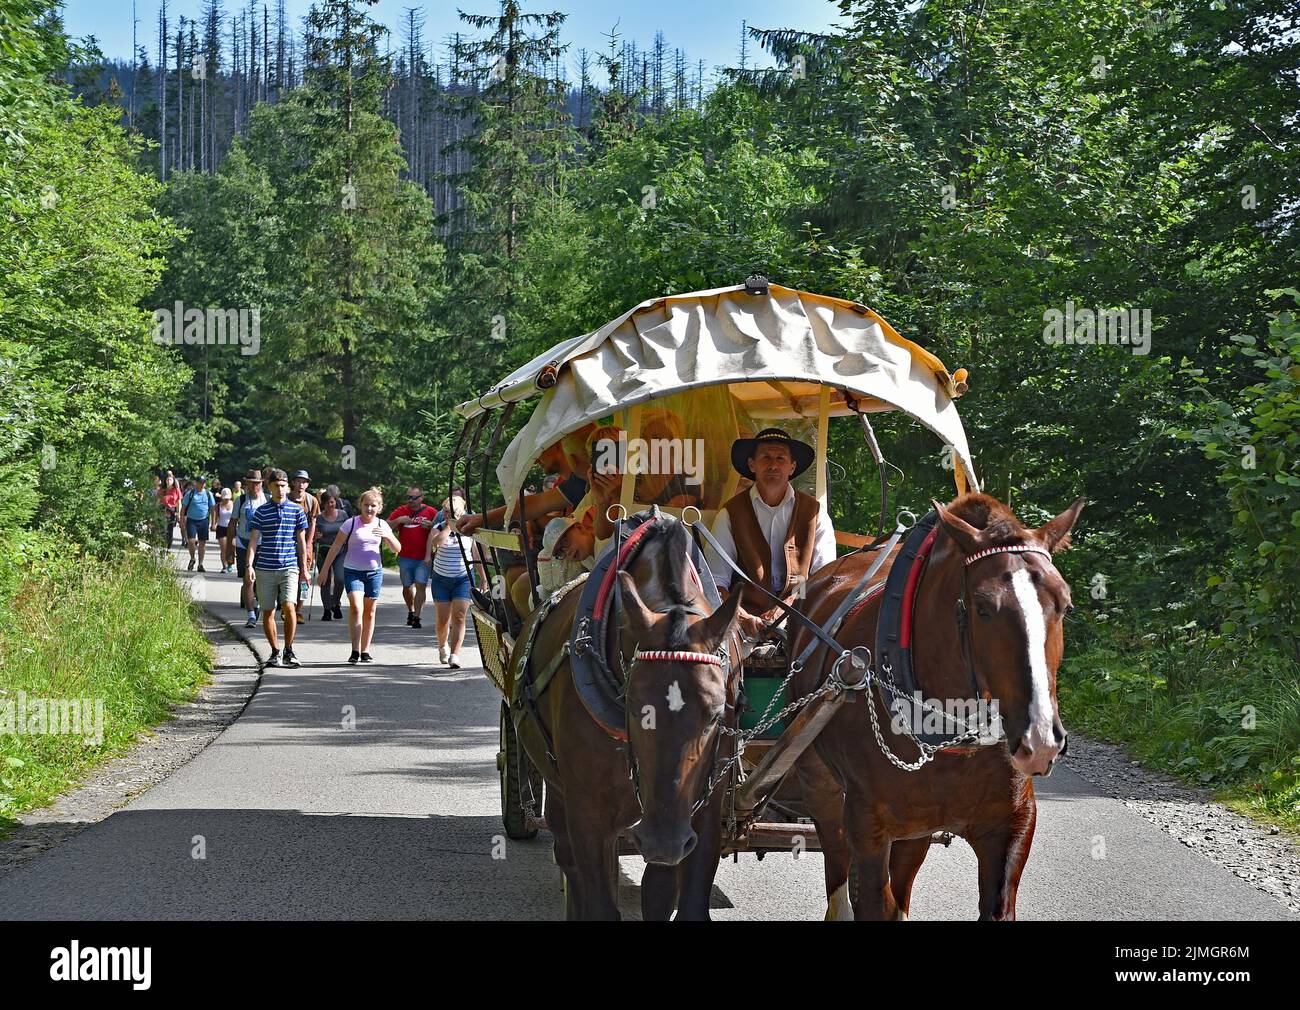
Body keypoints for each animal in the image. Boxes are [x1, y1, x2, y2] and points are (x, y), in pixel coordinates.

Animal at [514, 517, 743, 920]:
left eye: (716, 714)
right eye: (634, 706)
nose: (663, 841)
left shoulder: (702, 808)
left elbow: (677, 899)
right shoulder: (588, 811)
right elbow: (599, 902)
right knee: (567, 855)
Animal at [785, 491, 1081, 920]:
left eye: (1064, 606)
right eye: (982, 609)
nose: (1040, 739)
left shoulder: (1011, 825)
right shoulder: (867, 824)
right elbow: (874, 900)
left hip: (917, 825)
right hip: (819, 782)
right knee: (837, 856)